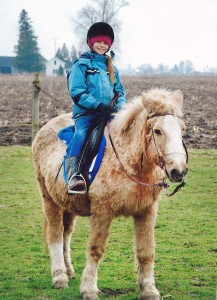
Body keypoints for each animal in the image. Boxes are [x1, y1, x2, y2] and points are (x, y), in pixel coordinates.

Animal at [32, 88, 188, 300]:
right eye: (157, 131)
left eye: (182, 129)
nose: (178, 170)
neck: (127, 159)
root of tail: (44, 128)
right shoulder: (102, 213)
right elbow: (96, 249)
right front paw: (89, 289)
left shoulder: (146, 211)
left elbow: (146, 251)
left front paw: (149, 290)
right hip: (49, 200)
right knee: (55, 234)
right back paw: (59, 277)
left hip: (67, 203)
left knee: (66, 233)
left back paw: (69, 271)